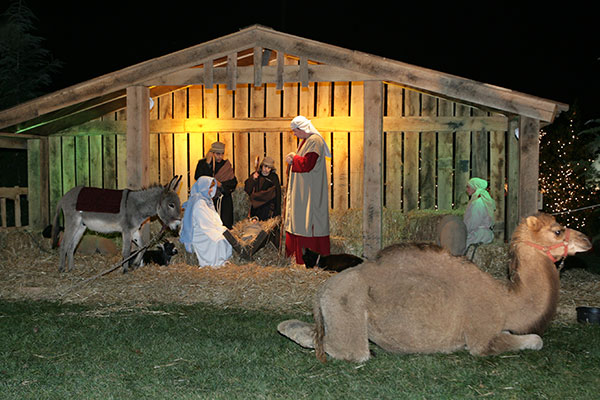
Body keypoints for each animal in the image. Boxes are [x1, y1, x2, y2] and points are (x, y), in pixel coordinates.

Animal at [278, 212, 592, 362]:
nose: (587, 241)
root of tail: (322, 292)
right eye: (558, 231)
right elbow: (536, 340)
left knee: (296, 328)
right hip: (349, 313)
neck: (507, 301)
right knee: (349, 351)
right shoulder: (481, 339)